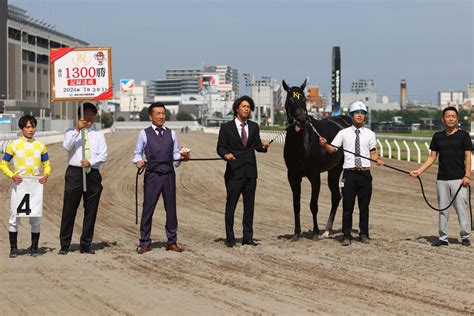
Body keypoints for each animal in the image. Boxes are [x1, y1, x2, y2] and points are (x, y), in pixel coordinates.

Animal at [284, 79, 350, 239]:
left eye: (303, 98)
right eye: (290, 99)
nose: (301, 119)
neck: (301, 143)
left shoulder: (314, 175)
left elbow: (313, 204)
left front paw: (315, 231)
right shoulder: (293, 175)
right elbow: (296, 204)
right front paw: (296, 232)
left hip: (338, 168)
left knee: (336, 196)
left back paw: (325, 230)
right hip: (333, 170)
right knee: (336, 196)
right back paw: (327, 230)